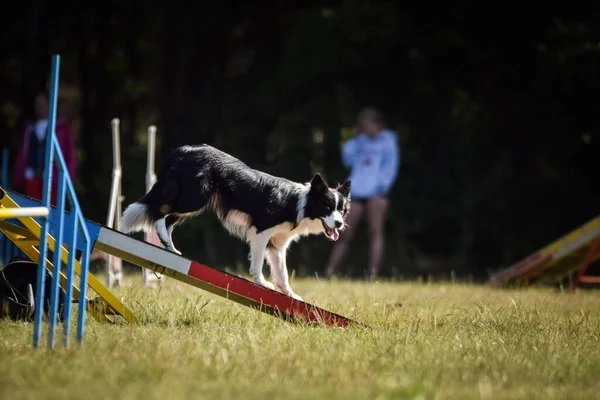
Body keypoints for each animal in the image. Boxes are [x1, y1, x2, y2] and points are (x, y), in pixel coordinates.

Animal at [119, 145, 350, 300]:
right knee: (159, 211)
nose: (339, 224)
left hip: (193, 201)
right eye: (327, 207)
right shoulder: (261, 232)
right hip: (193, 198)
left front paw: (291, 296)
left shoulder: (277, 244)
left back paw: (171, 248)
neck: (298, 203)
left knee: (167, 220)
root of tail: (182, 150)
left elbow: (282, 273)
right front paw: (261, 283)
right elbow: (258, 263)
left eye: (341, 209)